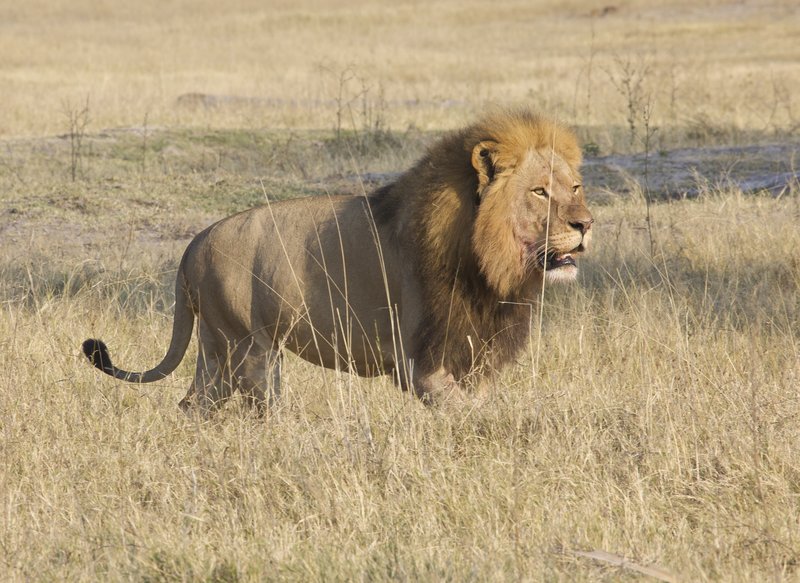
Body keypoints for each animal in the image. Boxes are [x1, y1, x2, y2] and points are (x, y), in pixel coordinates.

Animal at [82, 109, 593, 414]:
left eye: (574, 187)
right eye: (539, 191)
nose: (587, 224)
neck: (489, 264)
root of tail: (195, 242)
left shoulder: (476, 353)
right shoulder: (419, 363)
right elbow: (468, 415)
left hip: (217, 348)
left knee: (193, 405)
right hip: (250, 350)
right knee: (258, 408)